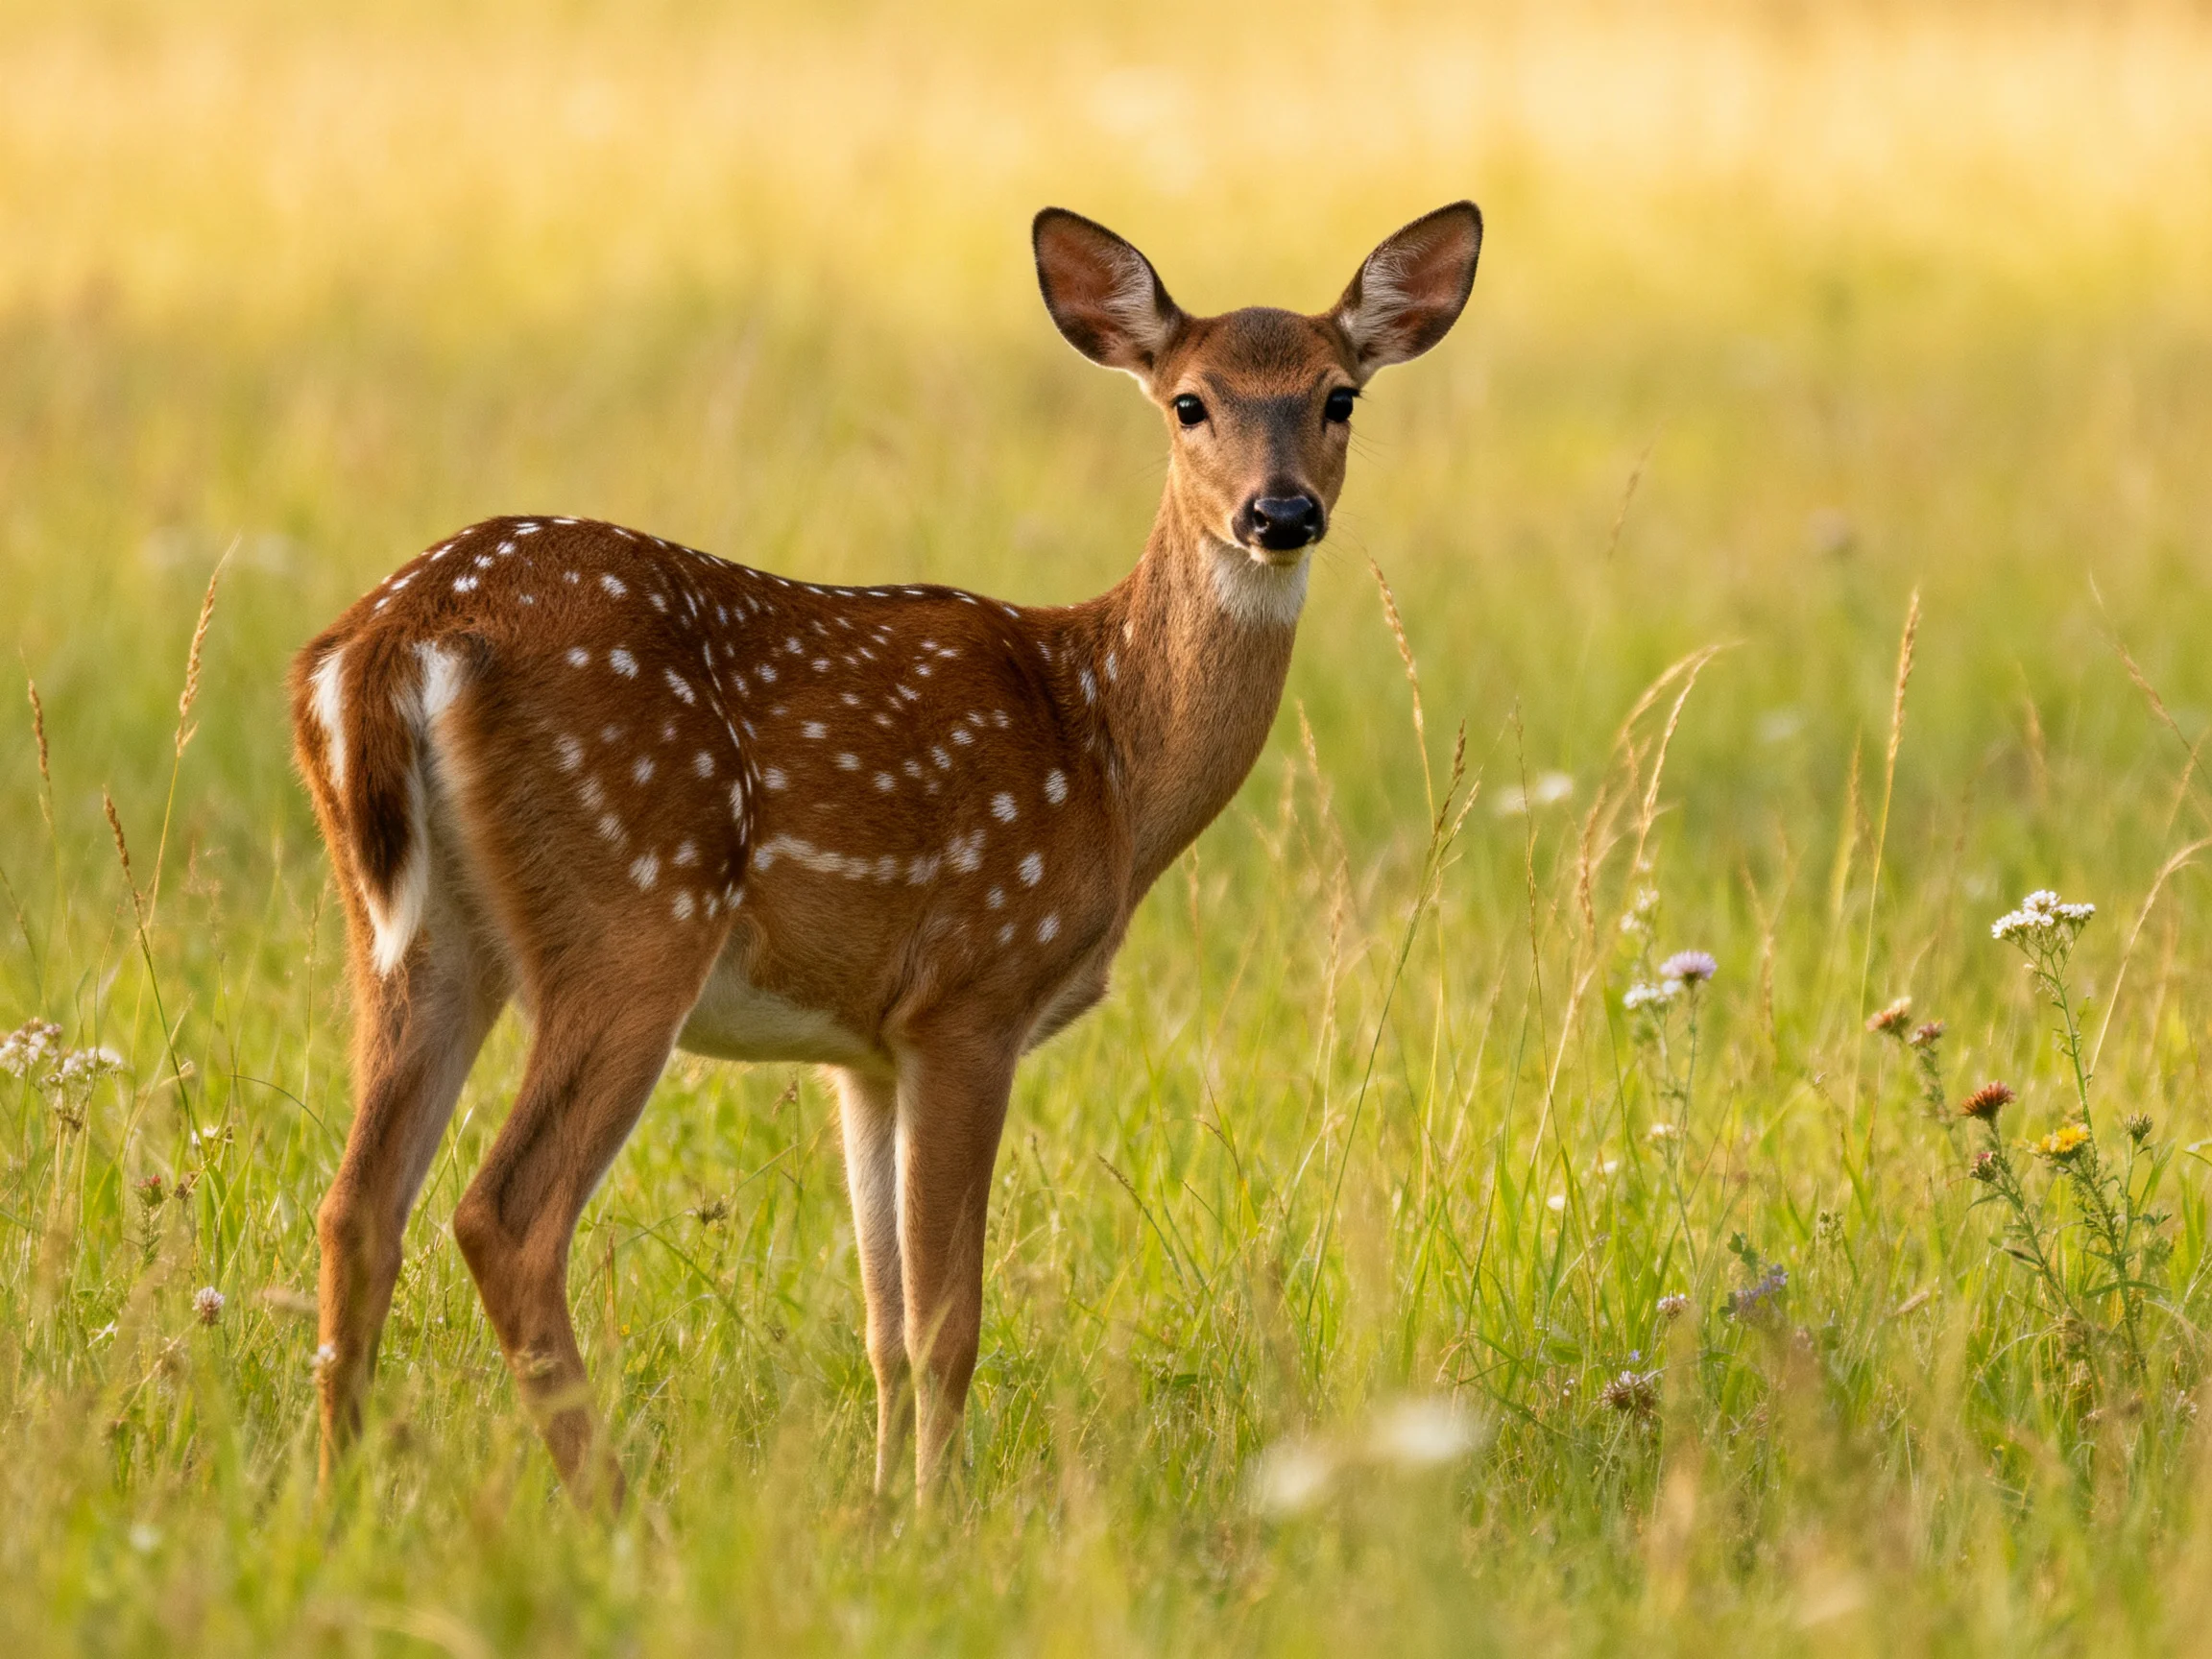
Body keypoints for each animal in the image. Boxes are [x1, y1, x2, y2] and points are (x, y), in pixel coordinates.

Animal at [288, 201, 1483, 1505]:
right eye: (1189, 402)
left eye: (1338, 396)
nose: (1281, 515)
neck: (1111, 750)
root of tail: (394, 640)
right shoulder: (971, 994)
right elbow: (949, 1320)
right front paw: (936, 1515)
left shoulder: (860, 1049)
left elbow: (882, 1320)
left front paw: (876, 1508)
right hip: (636, 911)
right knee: (503, 1216)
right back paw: (615, 1506)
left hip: (412, 934)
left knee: (357, 1205)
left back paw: (339, 1491)